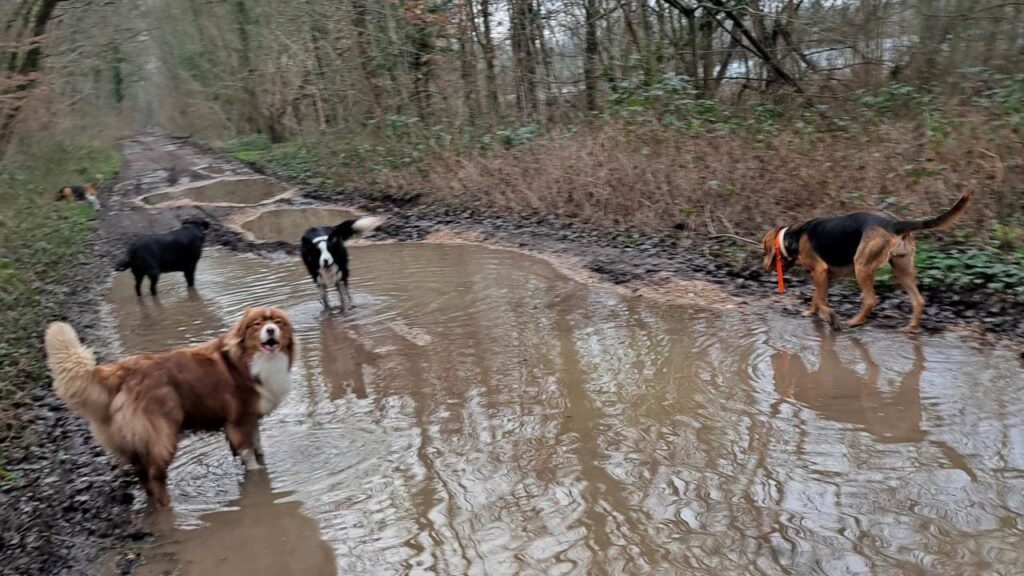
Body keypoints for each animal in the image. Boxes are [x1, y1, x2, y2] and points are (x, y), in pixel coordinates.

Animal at [48, 307, 296, 504]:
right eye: (257, 324)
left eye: (278, 322)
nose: (271, 330)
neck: (251, 360)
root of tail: (122, 370)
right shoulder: (238, 421)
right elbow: (248, 454)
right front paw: (257, 478)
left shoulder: (252, 419)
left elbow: (258, 447)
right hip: (162, 434)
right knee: (155, 475)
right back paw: (167, 506)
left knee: (142, 474)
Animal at [765, 190, 970, 330]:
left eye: (764, 250)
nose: (764, 267)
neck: (791, 238)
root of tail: (895, 223)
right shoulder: (825, 276)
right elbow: (817, 298)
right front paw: (811, 312)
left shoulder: (820, 271)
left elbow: (821, 300)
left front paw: (832, 318)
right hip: (902, 269)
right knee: (918, 300)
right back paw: (911, 327)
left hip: (862, 267)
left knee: (871, 300)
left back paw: (854, 321)